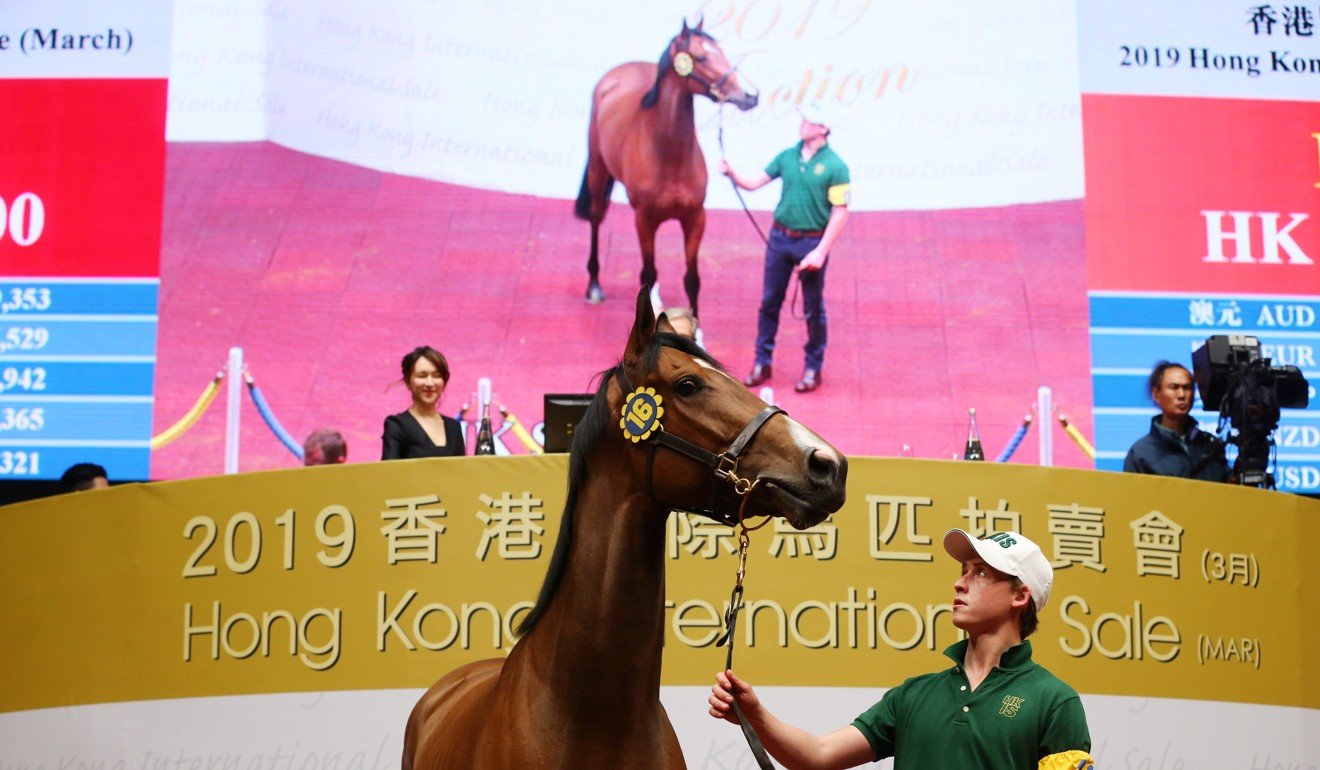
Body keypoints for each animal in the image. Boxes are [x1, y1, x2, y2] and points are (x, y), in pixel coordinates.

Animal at [572, 20, 760, 319]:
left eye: (721, 51)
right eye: (702, 57)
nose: (751, 95)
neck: (670, 157)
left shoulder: (695, 218)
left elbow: (692, 279)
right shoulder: (644, 219)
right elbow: (647, 271)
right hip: (598, 172)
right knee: (595, 219)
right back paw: (594, 287)